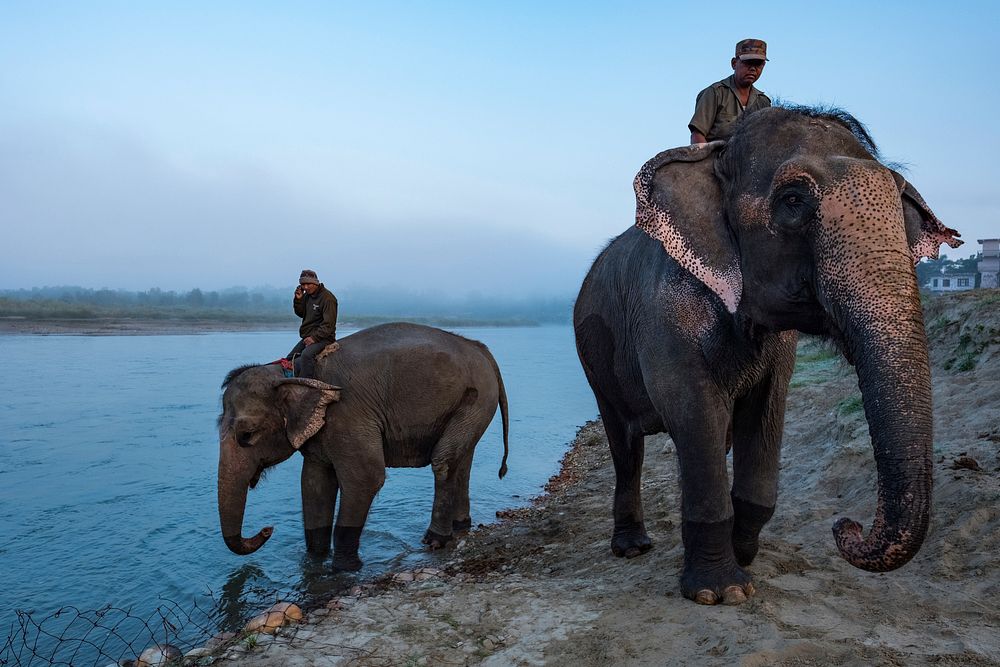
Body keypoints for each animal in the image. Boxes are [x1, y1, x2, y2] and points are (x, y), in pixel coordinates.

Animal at [217, 320, 508, 572]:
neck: (289, 373)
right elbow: (314, 483)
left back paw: (435, 540)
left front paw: (344, 569)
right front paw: (314, 561)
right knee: (462, 460)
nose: (267, 530)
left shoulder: (347, 414)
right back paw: (461, 527)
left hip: (477, 399)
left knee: (444, 461)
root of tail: (482, 350)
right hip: (473, 406)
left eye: (247, 435)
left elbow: (365, 478)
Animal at [576, 105, 964, 604]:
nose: (845, 526)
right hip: (595, 362)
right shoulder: (663, 313)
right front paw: (721, 592)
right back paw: (631, 548)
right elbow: (692, 411)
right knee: (626, 449)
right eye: (793, 200)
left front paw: (742, 558)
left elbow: (764, 415)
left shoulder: (779, 349)